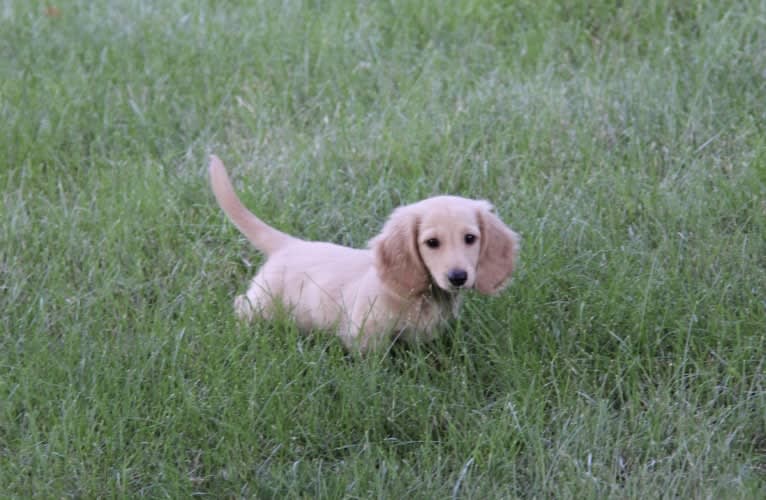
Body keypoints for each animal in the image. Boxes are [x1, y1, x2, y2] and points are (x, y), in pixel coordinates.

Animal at [212, 155, 520, 352]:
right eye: (432, 242)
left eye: (470, 239)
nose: (458, 277)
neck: (423, 297)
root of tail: (289, 244)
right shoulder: (364, 334)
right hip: (264, 303)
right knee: (241, 305)